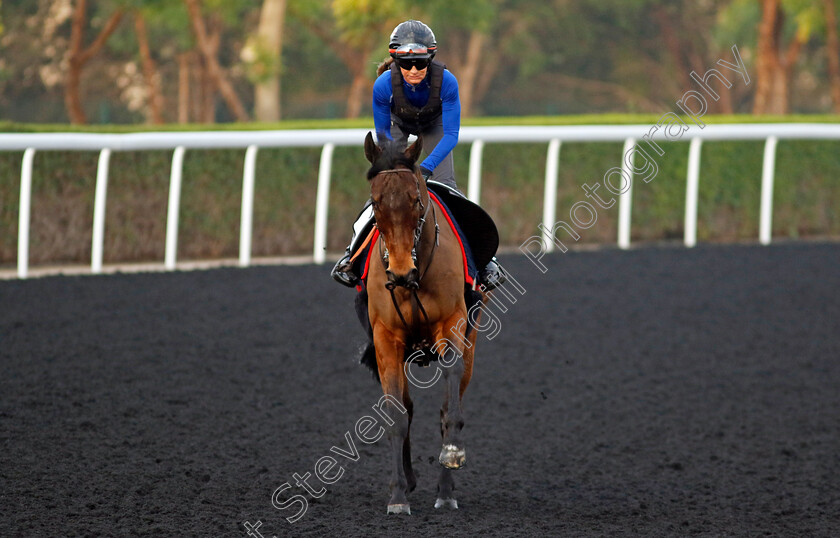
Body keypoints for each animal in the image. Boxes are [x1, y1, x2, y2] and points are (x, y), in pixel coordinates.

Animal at [360, 132, 480, 512]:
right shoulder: (385, 338)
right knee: (407, 406)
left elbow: (449, 404)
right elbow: (396, 415)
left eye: (415, 199)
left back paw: (445, 490)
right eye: (376, 202)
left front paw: (452, 455)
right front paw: (398, 494)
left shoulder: (453, 324)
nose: (399, 271)